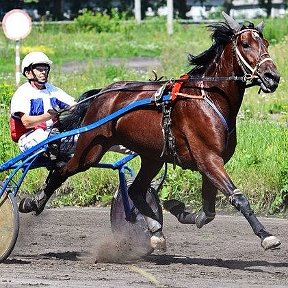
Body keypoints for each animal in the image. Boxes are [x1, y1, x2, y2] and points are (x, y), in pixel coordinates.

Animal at [25, 13, 282, 251]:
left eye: (266, 43)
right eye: (246, 44)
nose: (273, 77)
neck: (209, 98)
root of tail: (104, 93)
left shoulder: (211, 161)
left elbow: (208, 211)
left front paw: (178, 208)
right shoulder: (208, 159)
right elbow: (238, 197)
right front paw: (266, 235)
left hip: (152, 156)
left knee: (135, 190)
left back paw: (156, 231)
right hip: (91, 148)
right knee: (61, 170)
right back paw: (34, 202)